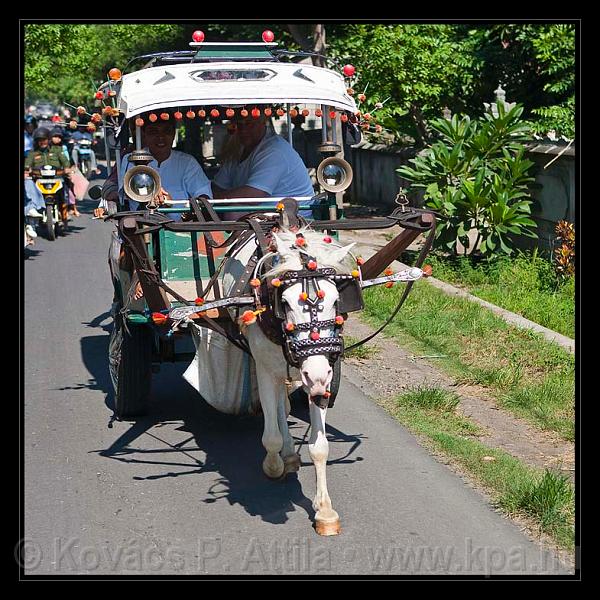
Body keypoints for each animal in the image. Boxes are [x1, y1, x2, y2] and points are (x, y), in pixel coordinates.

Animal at [185, 225, 356, 536]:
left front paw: (324, 510)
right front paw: (274, 464)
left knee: (282, 403)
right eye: (284, 302)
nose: (315, 374)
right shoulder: (265, 368)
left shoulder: (320, 378)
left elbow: (320, 446)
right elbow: (272, 433)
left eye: (336, 300)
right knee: (276, 404)